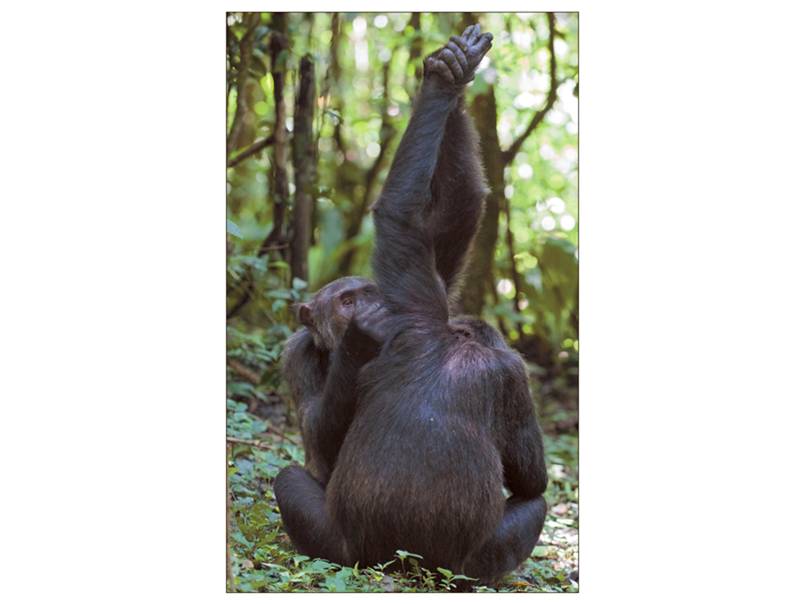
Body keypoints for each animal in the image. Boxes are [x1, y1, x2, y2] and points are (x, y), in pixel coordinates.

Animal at [274, 24, 548, 584]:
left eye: (368, 292)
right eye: (346, 299)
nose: (367, 308)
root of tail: (405, 564)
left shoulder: (423, 287)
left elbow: (448, 216)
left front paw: (452, 72)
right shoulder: (298, 352)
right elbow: (314, 429)